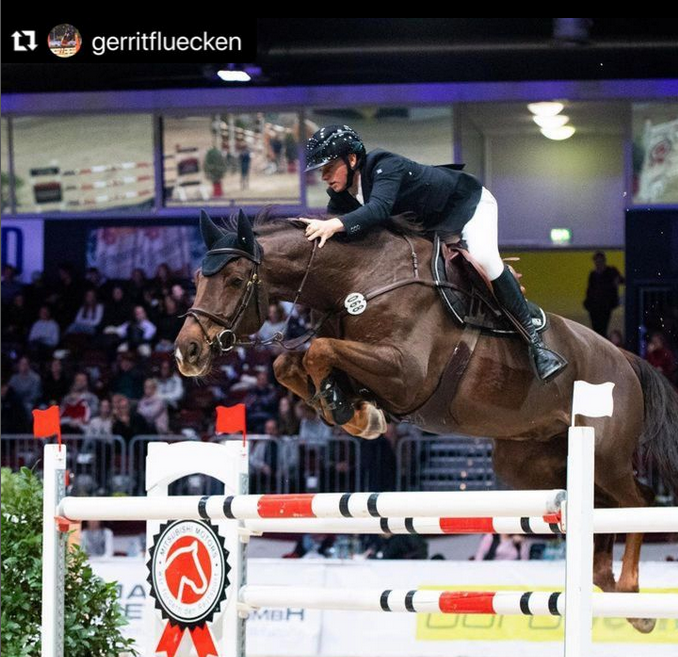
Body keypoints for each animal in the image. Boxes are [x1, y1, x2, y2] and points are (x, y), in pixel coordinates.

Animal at [177, 209, 678, 632]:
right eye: (197, 279)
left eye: (235, 279)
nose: (187, 352)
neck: (358, 282)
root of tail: (626, 359)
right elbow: (293, 363)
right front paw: (351, 410)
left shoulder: (405, 374)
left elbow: (319, 350)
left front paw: (353, 412)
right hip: (530, 464)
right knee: (603, 509)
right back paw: (609, 582)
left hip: (605, 454)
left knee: (639, 502)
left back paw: (634, 598)